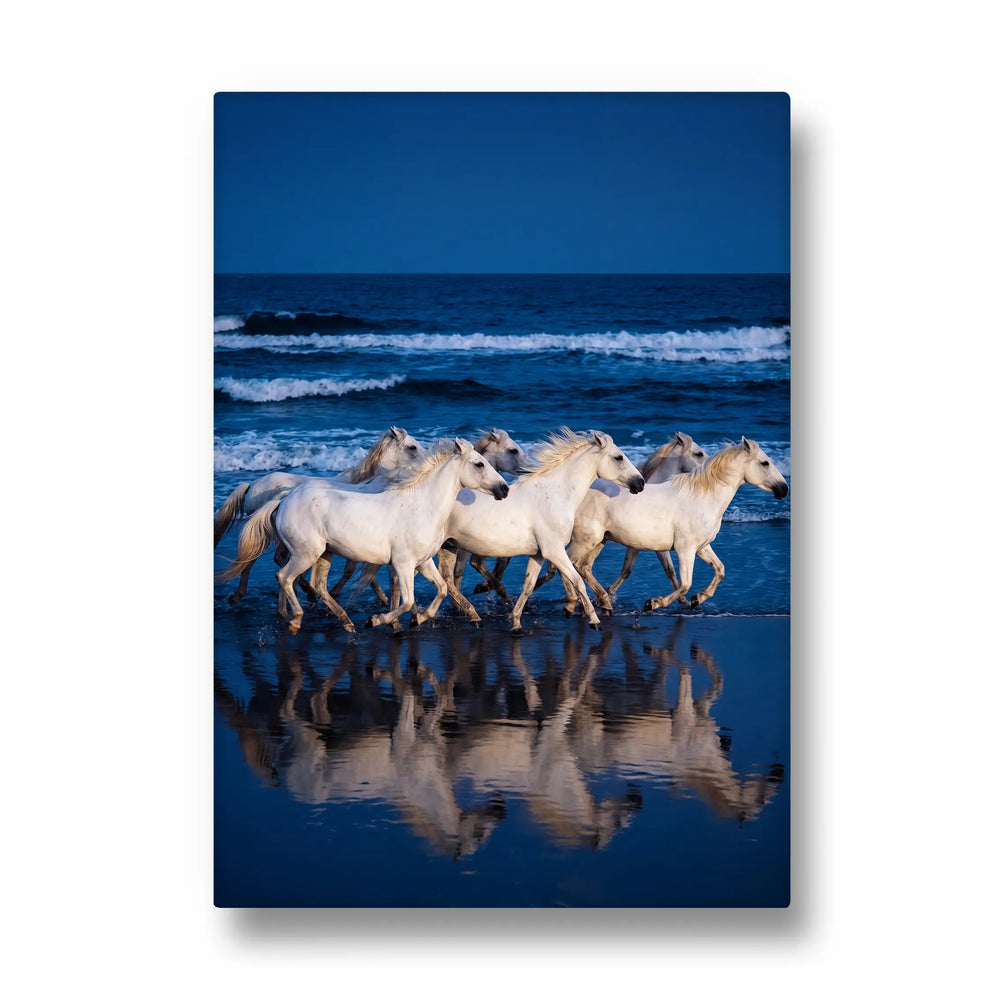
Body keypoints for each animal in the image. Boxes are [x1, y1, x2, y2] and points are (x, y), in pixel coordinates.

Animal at [219, 439, 510, 634]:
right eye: (479, 463)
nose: (504, 489)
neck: (421, 505)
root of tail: (284, 499)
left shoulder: (423, 562)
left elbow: (440, 590)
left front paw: (418, 619)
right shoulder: (402, 564)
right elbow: (407, 601)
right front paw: (377, 620)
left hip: (324, 553)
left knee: (318, 586)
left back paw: (346, 622)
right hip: (305, 553)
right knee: (284, 577)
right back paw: (295, 619)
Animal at [435, 428, 645, 632]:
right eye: (619, 457)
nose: (641, 482)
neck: (553, 495)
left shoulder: (539, 554)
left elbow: (528, 586)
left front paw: (516, 622)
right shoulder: (555, 551)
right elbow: (578, 581)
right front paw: (594, 621)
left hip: (448, 547)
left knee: (447, 581)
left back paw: (470, 615)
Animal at [557, 437, 788, 616]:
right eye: (765, 463)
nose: (784, 489)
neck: (703, 498)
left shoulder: (701, 547)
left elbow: (720, 570)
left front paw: (698, 599)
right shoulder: (685, 549)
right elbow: (684, 583)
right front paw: (654, 603)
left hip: (599, 540)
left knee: (582, 566)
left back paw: (601, 602)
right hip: (585, 541)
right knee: (567, 564)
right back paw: (574, 603)